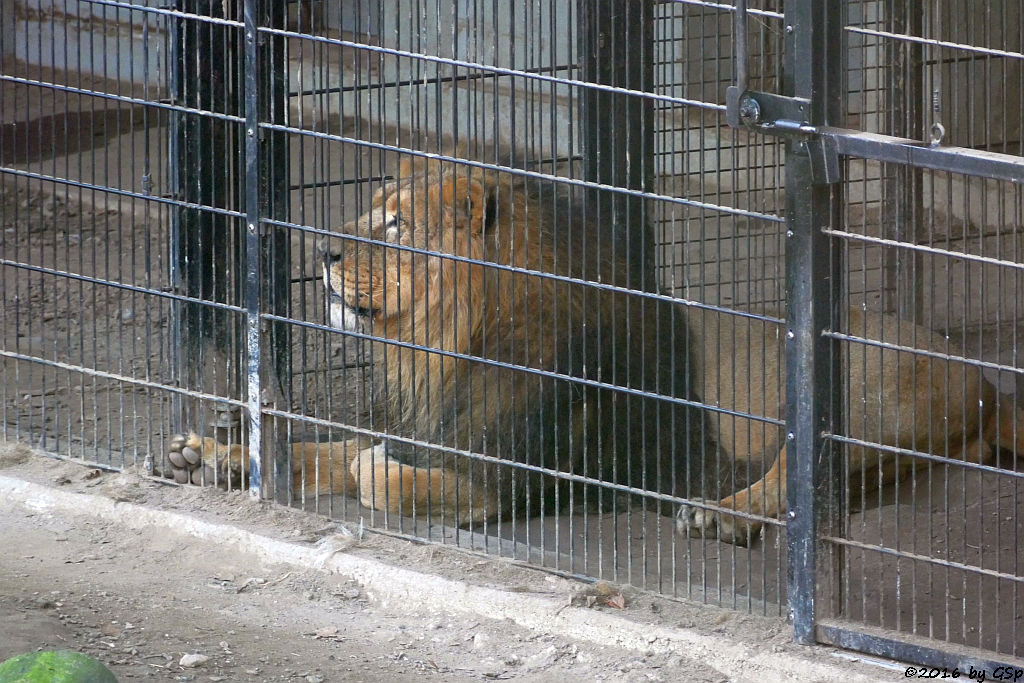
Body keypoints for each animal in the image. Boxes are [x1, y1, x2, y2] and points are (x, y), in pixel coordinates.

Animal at [167, 157, 724, 528]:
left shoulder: (502, 482)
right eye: (375, 210)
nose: (323, 251)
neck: (451, 345)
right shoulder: (418, 423)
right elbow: (319, 449)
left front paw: (371, 466)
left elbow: (378, 478)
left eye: (399, 223)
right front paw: (216, 456)